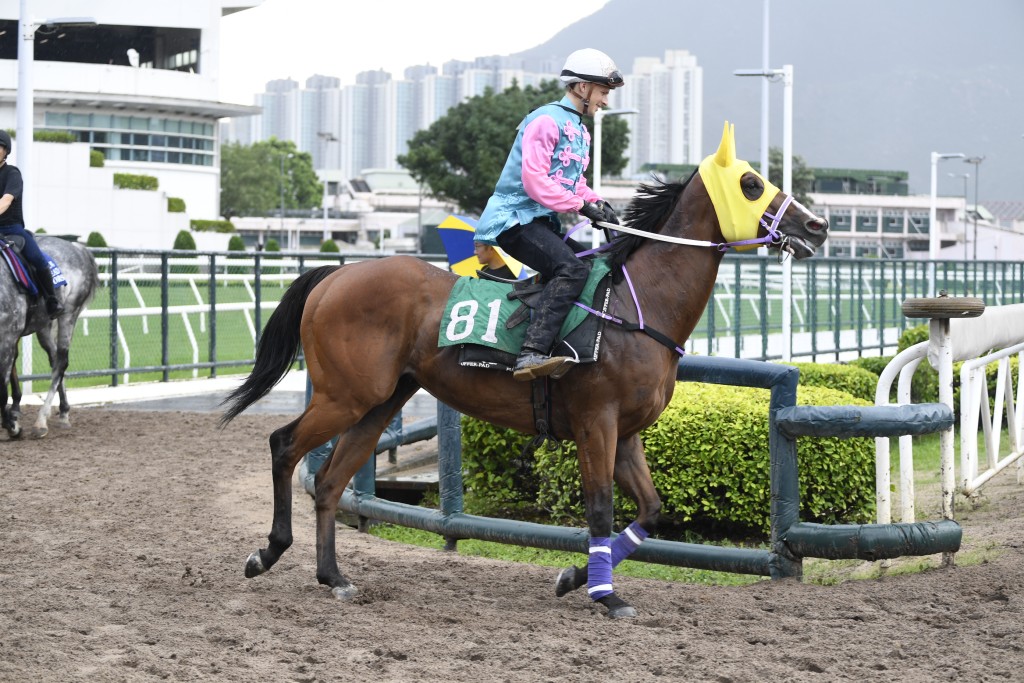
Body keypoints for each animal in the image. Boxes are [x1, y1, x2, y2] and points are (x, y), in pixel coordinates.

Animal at [1, 235, 98, 438]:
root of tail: (76, 246)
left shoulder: (7, 338)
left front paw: (12, 425)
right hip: (44, 326)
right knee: (54, 358)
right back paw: (63, 410)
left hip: (68, 314)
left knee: (61, 362)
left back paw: (41, 421)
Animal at [224, 122, 831, 618]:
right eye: (751, 183)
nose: (819, 225)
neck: (635, 307)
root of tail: (334, 276)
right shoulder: (595, 422)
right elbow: (600, 510)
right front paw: (606, 595)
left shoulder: (627, 431)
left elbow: (650, 511)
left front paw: (574, 577)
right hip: (344, 395)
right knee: (284, 445)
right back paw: (267, 552)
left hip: (379, 402)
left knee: (329, 481)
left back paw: (333, 577)